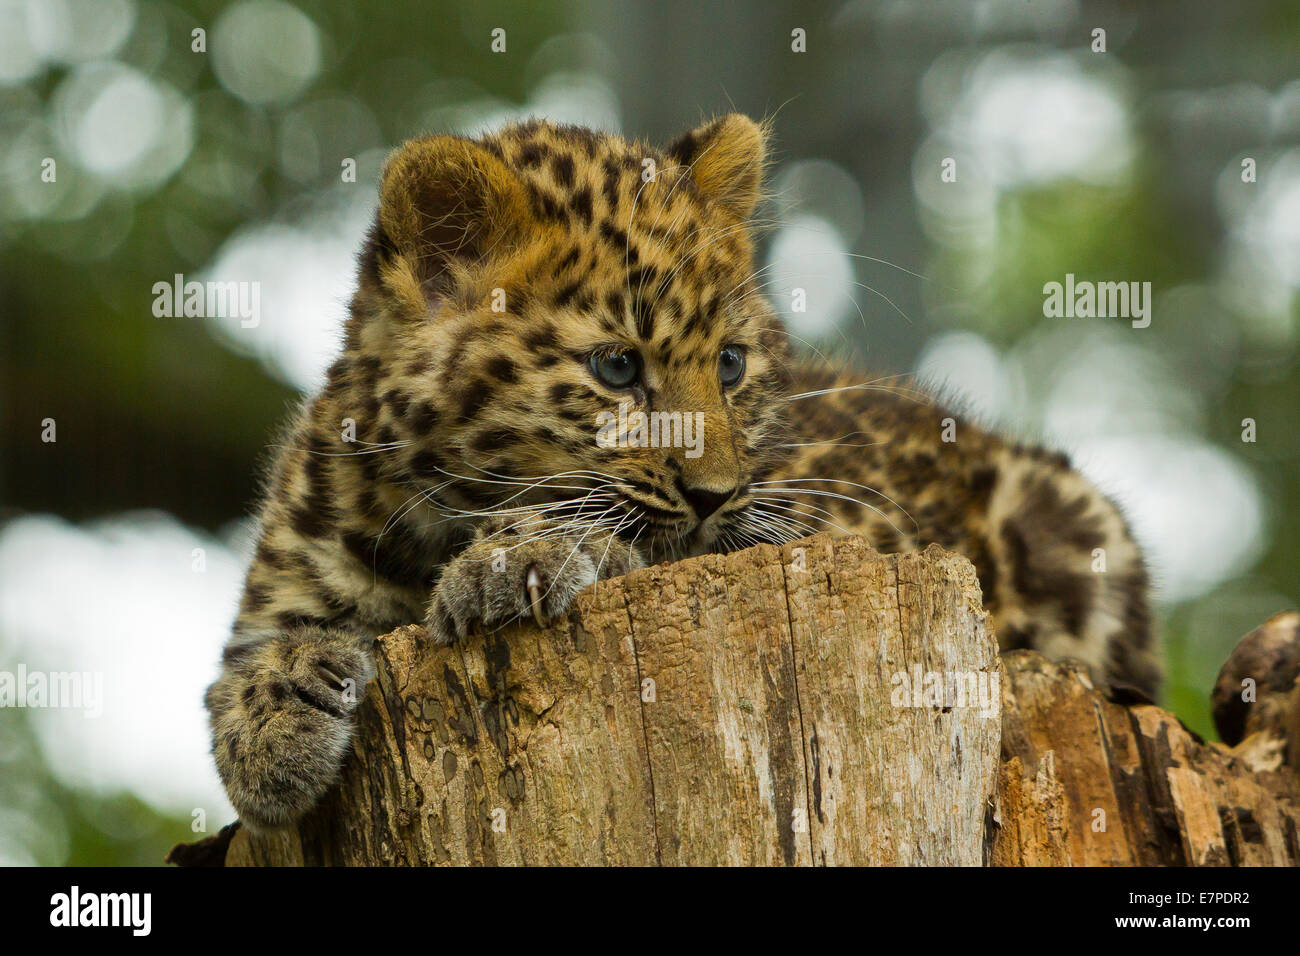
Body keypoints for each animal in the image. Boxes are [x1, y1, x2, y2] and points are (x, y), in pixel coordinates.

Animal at [205, 114, 1159, 831]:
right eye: (618, 368)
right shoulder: (294, 567)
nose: (715, 494)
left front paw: (520, 560)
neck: (439, 514)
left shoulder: (833, 522)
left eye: (731, 365)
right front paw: (273, 726)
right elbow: (247, 666)